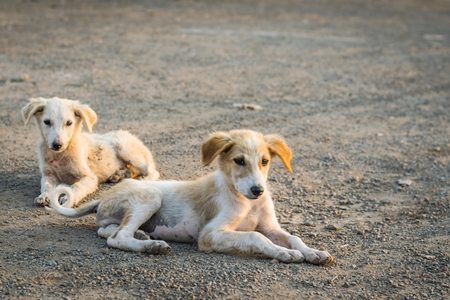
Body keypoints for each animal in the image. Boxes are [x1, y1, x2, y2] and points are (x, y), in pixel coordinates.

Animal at [22, 97, 161, 207]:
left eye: (69, 123)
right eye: (47, 122)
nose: (57, 145)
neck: (60, 155)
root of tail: (135, 138)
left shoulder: (89, 177)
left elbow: (77, 186)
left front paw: (68, 197)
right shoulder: (48, 174)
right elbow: (47, 186)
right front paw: (44, 196)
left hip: (125, 148)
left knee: (152, 171)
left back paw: (143, 180)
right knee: (134, 169)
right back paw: (119, 175)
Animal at [49, 129, 332, 264]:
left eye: (264, 161)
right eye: (239, 161)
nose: (258, 191)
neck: (244, 201)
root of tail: (105, 195)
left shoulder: (271, 226)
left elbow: (293, 237)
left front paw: (314, 252)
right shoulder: (210, 234)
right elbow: (255, 236)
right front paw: (284, 254)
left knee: (108, 230)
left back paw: (143, 235)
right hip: (150, 195)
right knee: (117, 238)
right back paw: (151, 246)